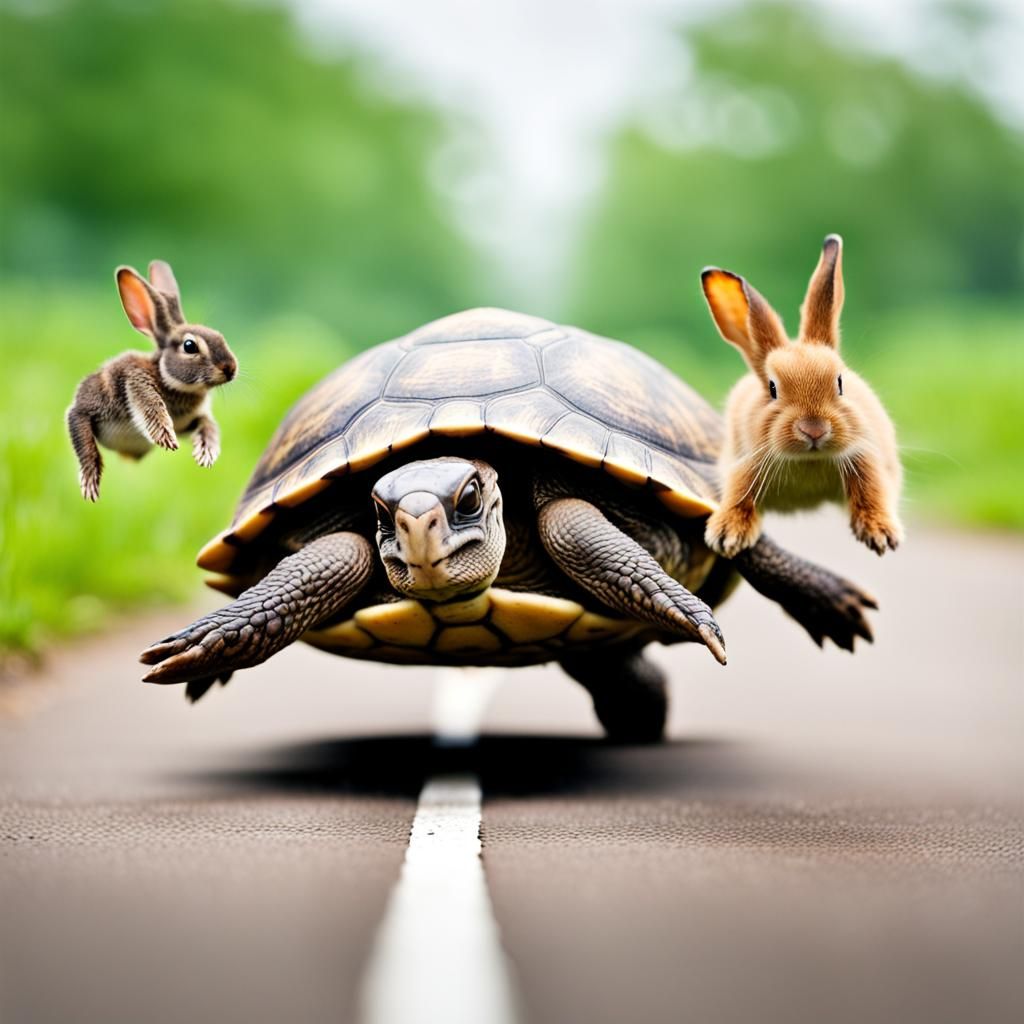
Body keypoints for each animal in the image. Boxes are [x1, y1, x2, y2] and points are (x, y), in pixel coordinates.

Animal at [66, 260, 237, 501]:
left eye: (219, 335)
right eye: (189, 346)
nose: (231, 369)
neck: (168, 378)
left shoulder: (189, 423)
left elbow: (207, 424)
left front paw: (206, 453)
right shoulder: (134, 381)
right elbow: (149, 404)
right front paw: (166, 439)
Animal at [701, 234, 903, 558]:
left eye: (840, 383)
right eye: (772, 388)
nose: (814, 429)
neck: (808, 461)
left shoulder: (866, 456)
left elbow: (874, 490)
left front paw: (882, 535)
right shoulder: (745, 464)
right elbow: (738, 494)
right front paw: (726, 537)